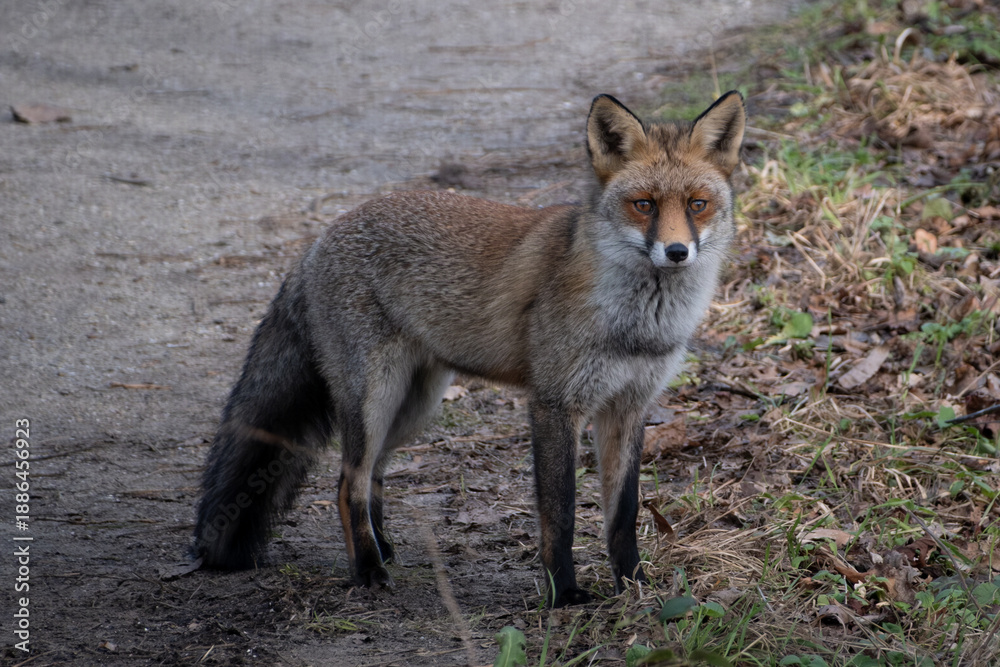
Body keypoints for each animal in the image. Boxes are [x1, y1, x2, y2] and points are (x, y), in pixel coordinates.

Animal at [192, 91, 746, 607]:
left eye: (697, 204)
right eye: (644, 204)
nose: (677, 252)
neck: (637, 325)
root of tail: (317, 241)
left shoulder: (629, 406)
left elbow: (624, 513)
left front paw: (634, 586)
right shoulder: (553, 404)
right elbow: (561, 513)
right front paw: (563, 594)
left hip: (413, 407)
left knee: (370, 477)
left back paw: (383, 550)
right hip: (374, 397)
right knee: (348, 481)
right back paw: (368, 571)